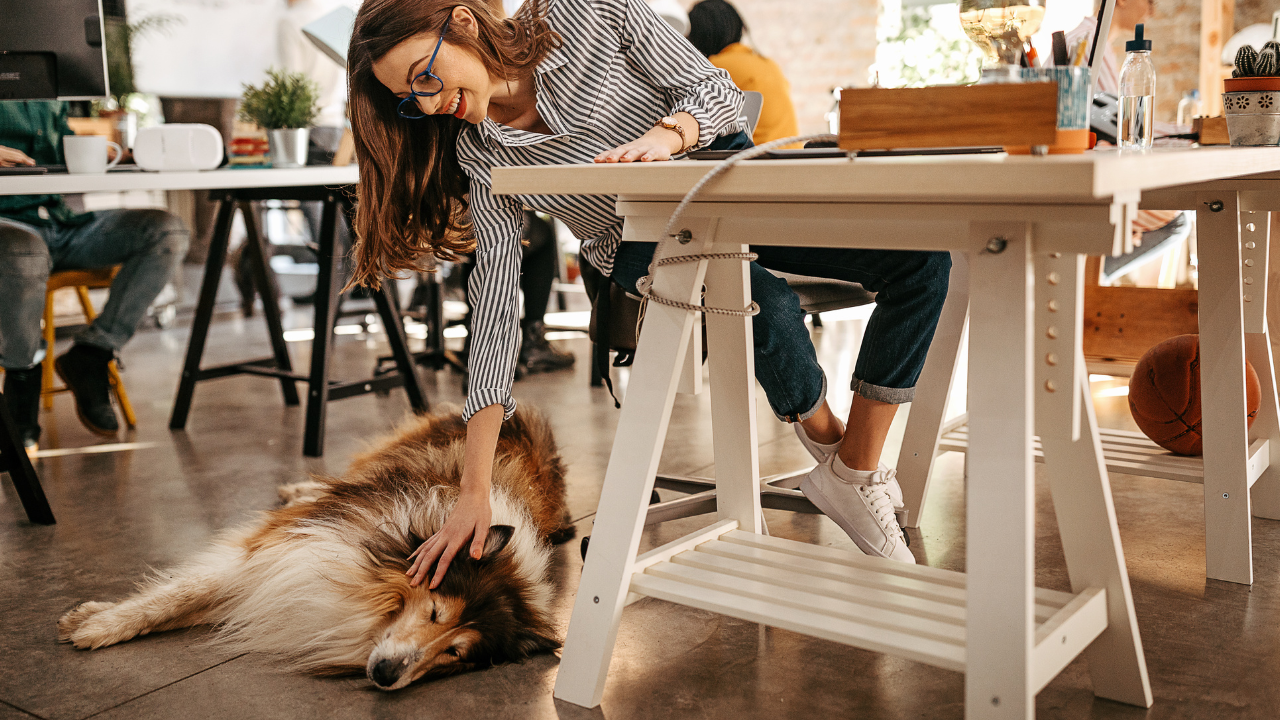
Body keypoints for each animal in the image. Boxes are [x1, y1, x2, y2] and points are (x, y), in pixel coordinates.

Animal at [58, 407, 570, 686]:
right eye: (434, 613)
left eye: (456, 654)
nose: (387, 675)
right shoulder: (278, 549)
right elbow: (173, 597)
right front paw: (96, 625)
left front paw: (92, 620)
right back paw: (300, 488)